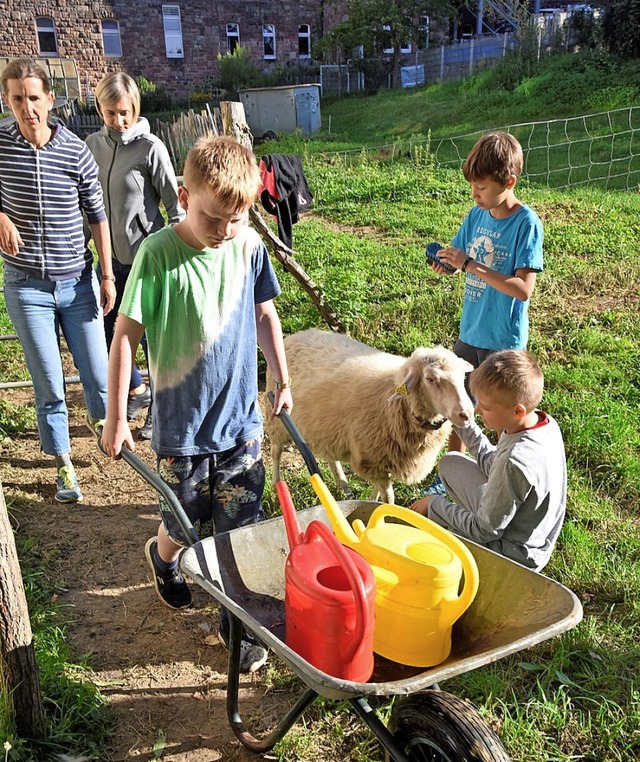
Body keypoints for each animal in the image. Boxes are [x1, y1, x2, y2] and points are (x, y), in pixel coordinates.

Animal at [264, 328, 476, 502]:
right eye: (431, 379)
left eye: (463, 377)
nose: (466, 414)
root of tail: (298, 334)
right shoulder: (369, 462)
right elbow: (388, 496)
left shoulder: (384, 460)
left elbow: (378, 491)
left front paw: (370, 501)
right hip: (276, 418)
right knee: (276, 453)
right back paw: (276, 485)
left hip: (325, 426)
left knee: (331, 457)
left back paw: (343, 485)